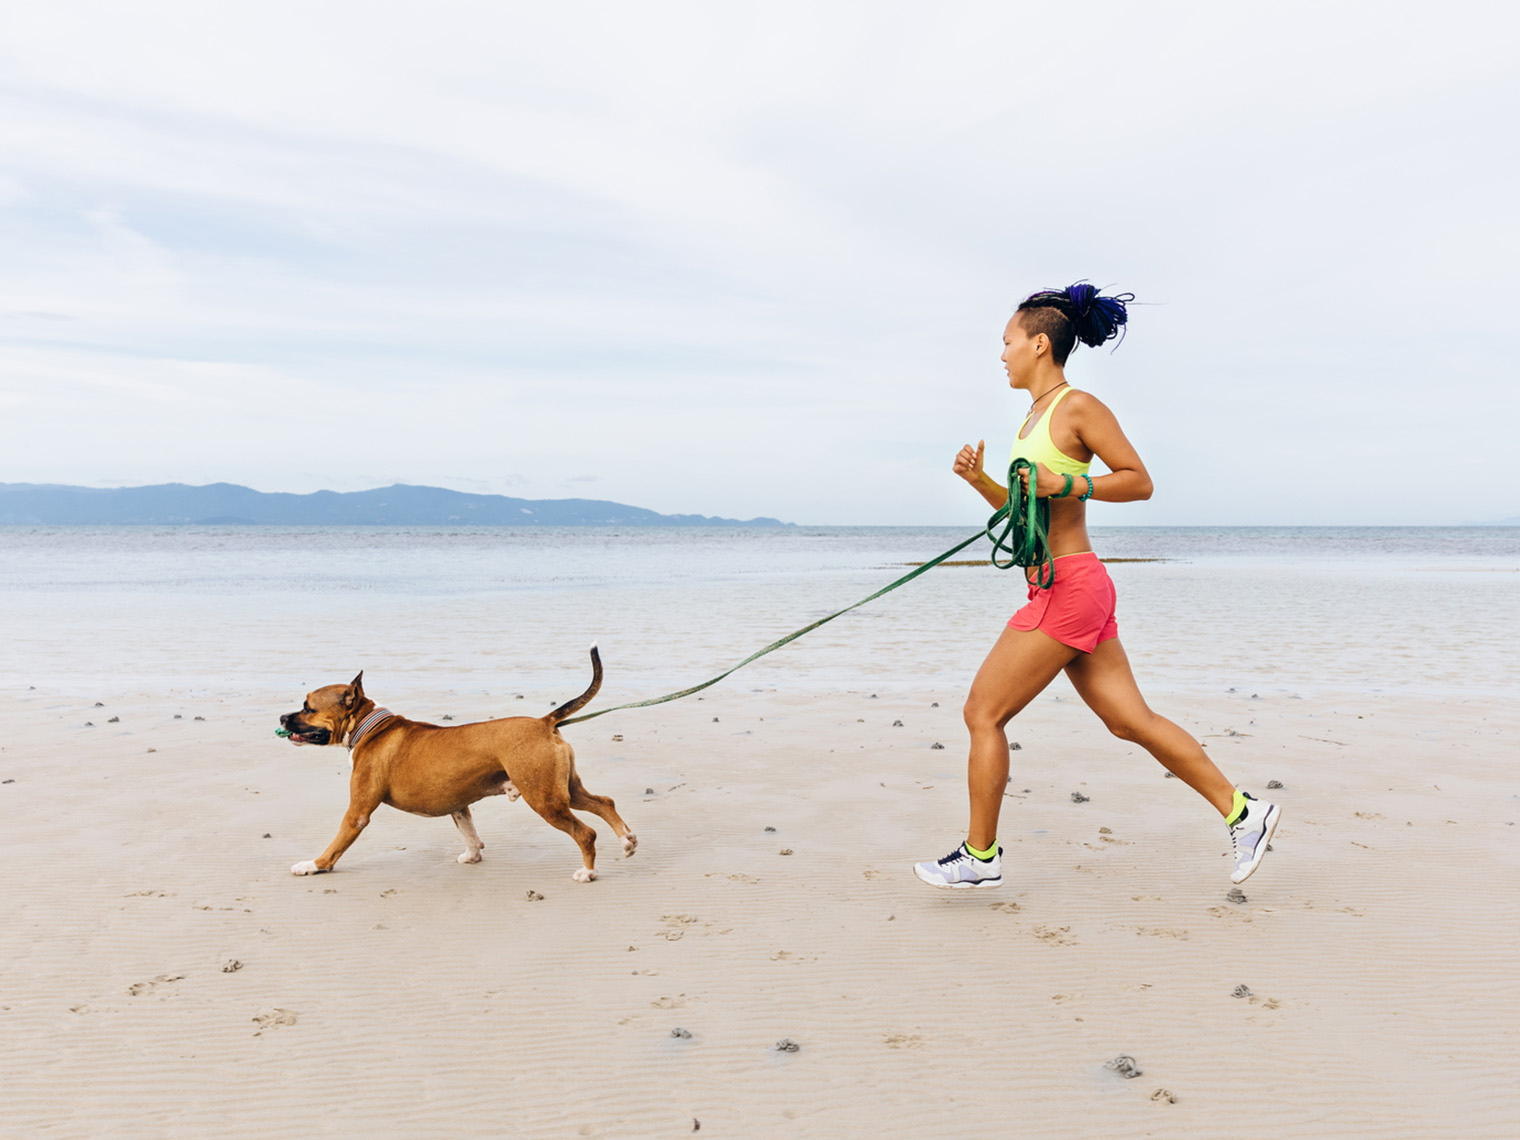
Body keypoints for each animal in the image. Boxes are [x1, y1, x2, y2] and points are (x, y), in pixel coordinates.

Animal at [276, 644, 632, 881]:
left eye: (307, 707)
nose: (281, 717)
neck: (369, 726)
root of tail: (544, 722)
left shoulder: (357, 813)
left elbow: (337, 844)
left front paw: (314, 865)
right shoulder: (459, 804)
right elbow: (469, 832)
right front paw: (473, 856)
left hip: (545, 799)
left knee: (586, 833)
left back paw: (588, 871)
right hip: (564, 790)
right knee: (604, 802)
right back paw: (627, 841)